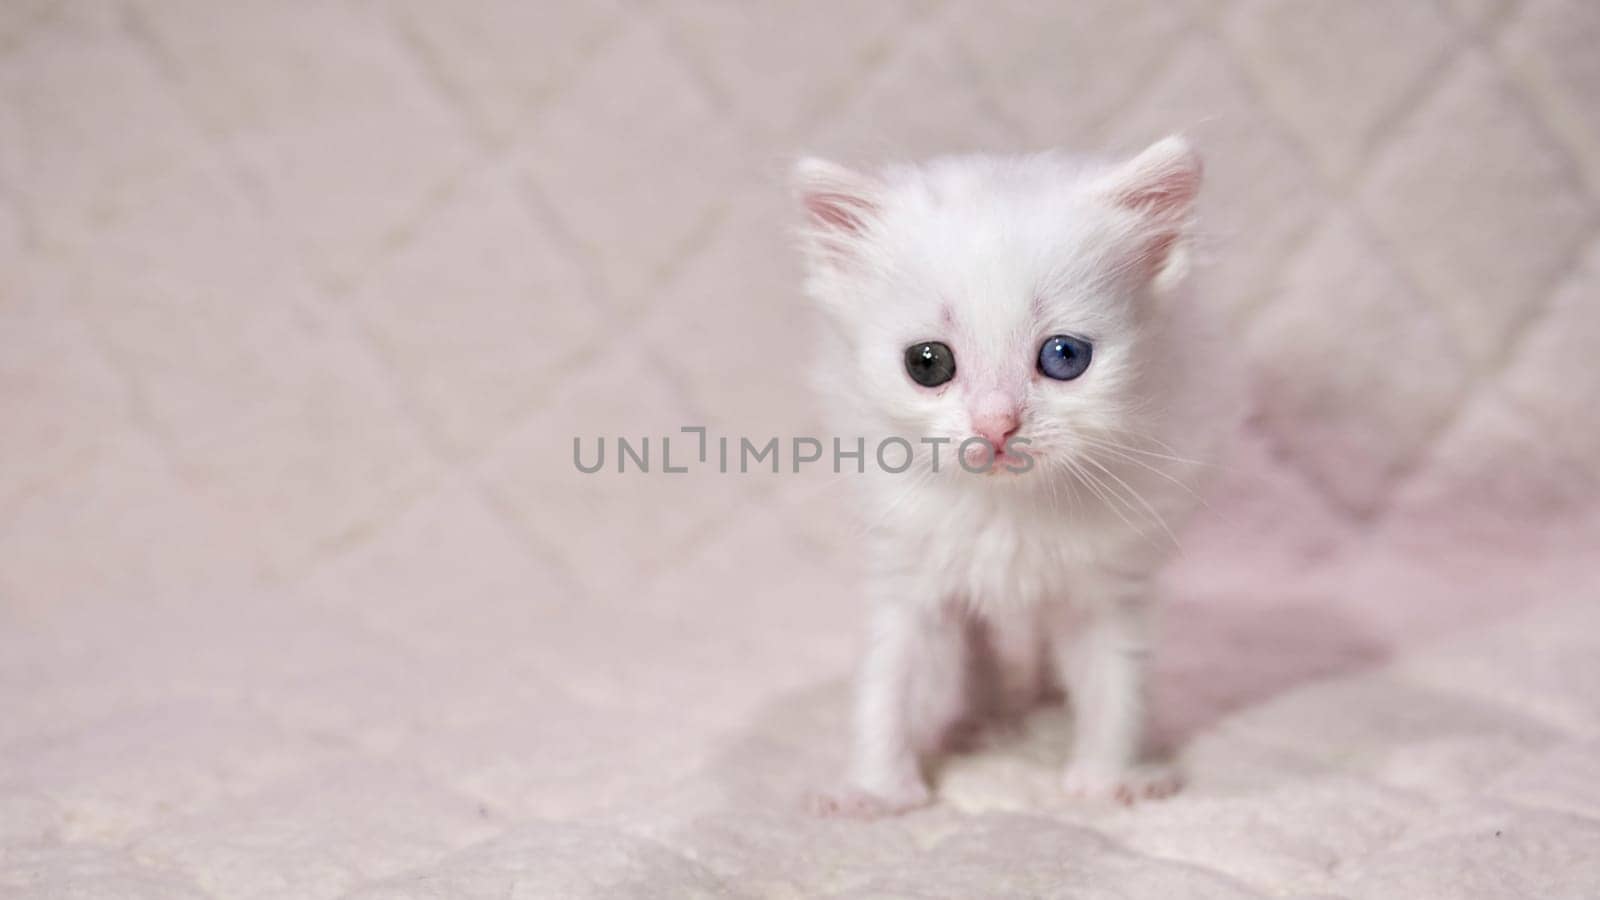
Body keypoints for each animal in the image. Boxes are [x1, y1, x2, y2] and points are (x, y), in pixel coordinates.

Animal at [793, 136, 1228, 816]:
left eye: (1065, 356)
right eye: (927, 363)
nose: (997, 424)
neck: (1009, 508)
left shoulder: (1110, 581)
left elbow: (1117, 680)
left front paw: (1111, 778)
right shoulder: (908, 572)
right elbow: (889, 680)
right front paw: (875, 790)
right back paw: (983, 716)